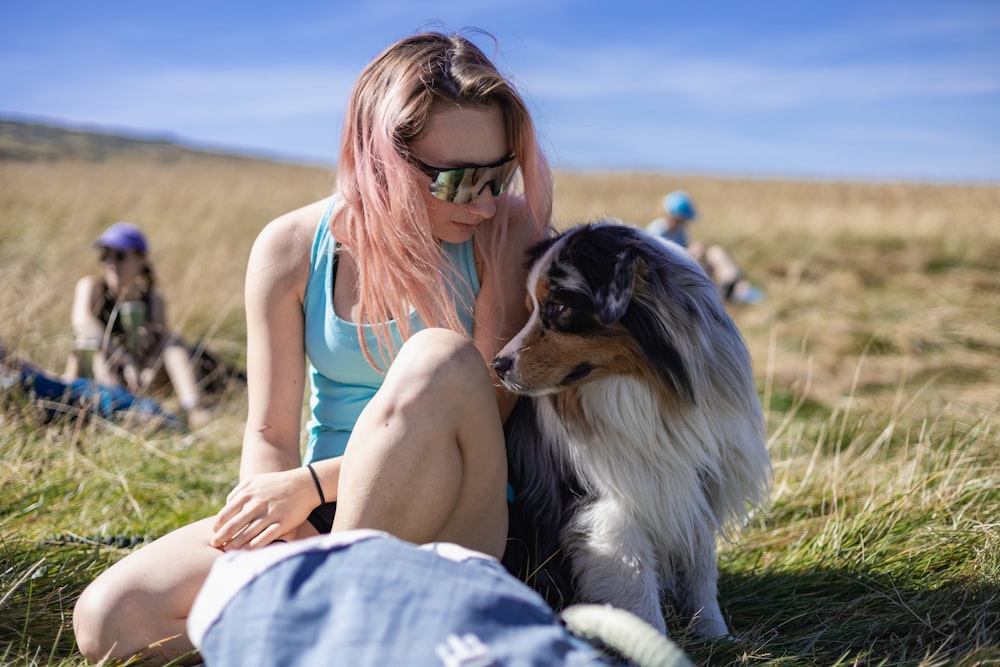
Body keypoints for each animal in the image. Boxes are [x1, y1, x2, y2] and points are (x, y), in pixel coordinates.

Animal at [496, 222, 768, 640]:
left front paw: (715, 635)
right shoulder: (609, 509)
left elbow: (701, 570)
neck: (650, 388)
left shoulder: (694, 484)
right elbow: (637, 589)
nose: (497, 365)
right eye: (529, 310)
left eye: (557, 307)